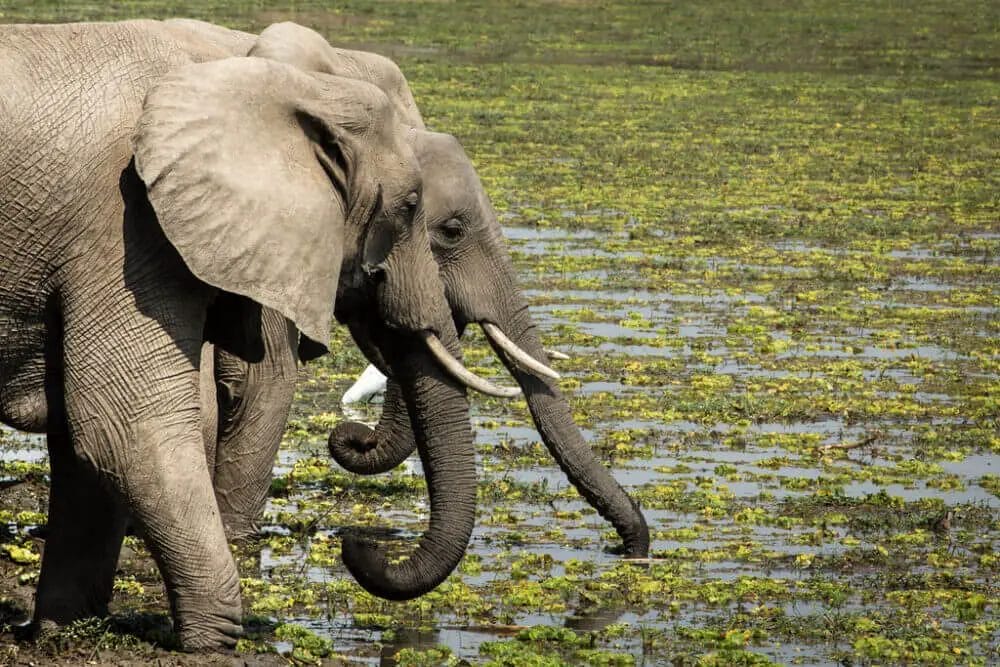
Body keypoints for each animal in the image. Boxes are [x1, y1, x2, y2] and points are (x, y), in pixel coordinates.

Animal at [0, 19, 504, 649]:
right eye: (426, 215)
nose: (358, 547)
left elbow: (83, 435)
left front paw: (64, 633)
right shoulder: (122, 225)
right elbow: (128, 424)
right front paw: (214, 640)